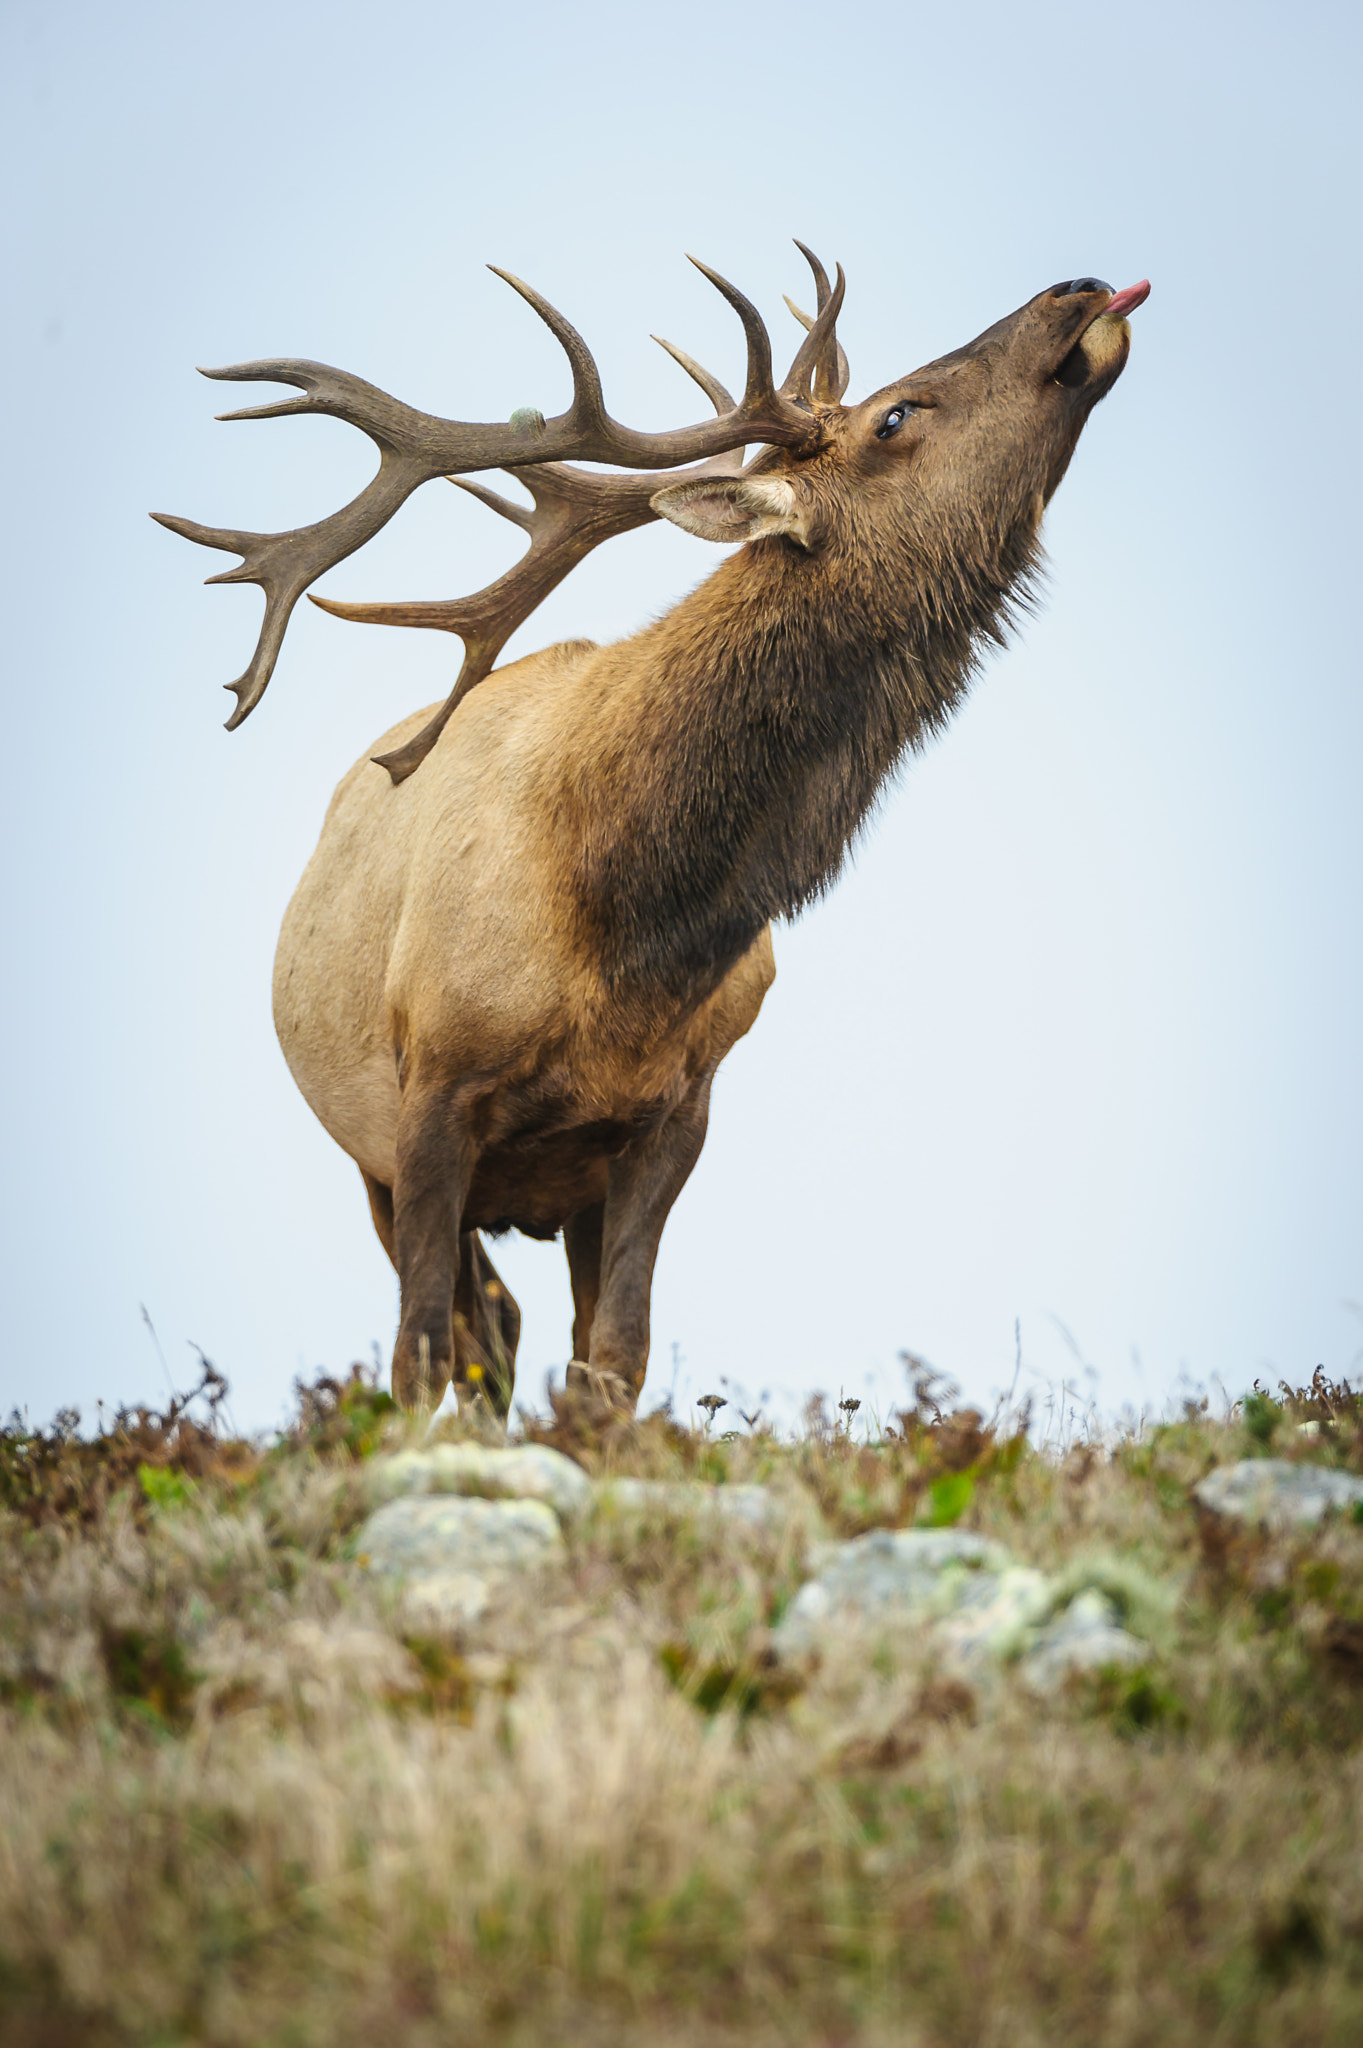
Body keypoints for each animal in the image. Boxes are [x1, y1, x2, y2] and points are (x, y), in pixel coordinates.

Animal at [155, 248, 1148, 1416]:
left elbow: (613, 1358)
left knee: (512, 1322)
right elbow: (416, 1353)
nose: (1075, 290)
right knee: (473, 1327)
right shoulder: (427, 1097)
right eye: (895, 415)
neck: (630, 928)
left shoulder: (672, 1115)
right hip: (373, 1155)